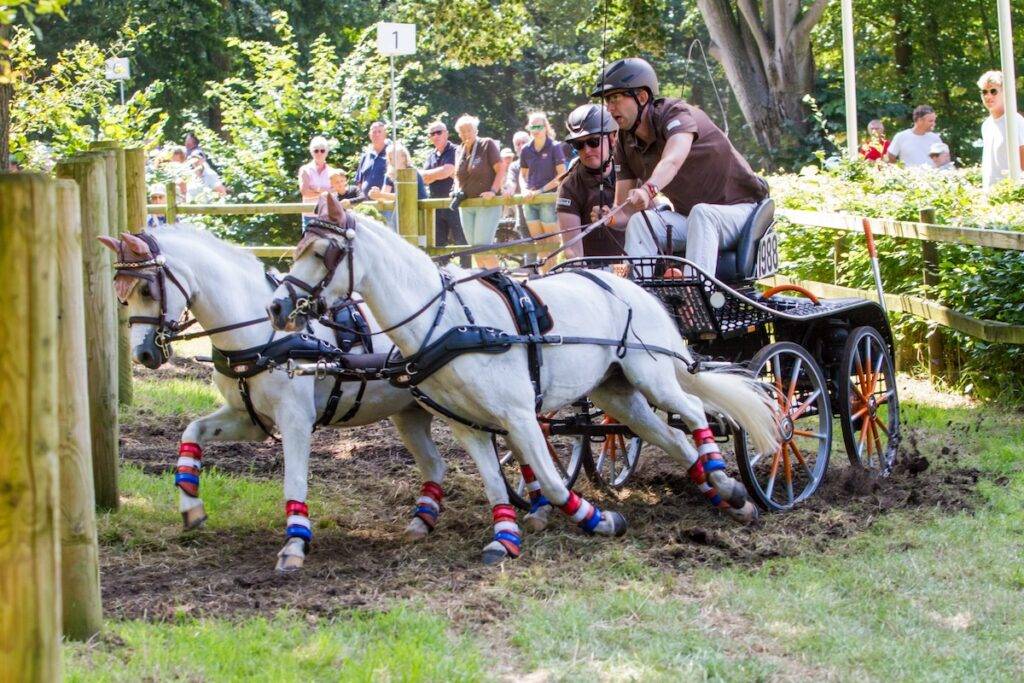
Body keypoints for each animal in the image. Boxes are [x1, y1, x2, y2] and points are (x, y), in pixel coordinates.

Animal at [99, 226, 459, 572]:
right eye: (122, 297)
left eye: (147, 291)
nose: (143, 354)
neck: (257, 335)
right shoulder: (249, 418)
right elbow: (192, 432)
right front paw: (191, 506)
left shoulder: (295, 419)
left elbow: (294, 480)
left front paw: (295, 544)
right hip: (410, 413)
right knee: (434, 463)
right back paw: (421, 521)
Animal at [268, 197, 780, 564]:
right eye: (298, 250)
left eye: (324, 253)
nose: (276, 306)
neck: (447, 322)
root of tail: (635, 287)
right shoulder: (469, 426)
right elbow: (496, 484)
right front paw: (505, 539)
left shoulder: (518, 415)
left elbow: (552, 483)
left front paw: (600, 520)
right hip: (617, 392)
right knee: (669, 436)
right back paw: (726, 496)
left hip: (651, 373)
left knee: (692, 412)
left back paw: (726, 479)